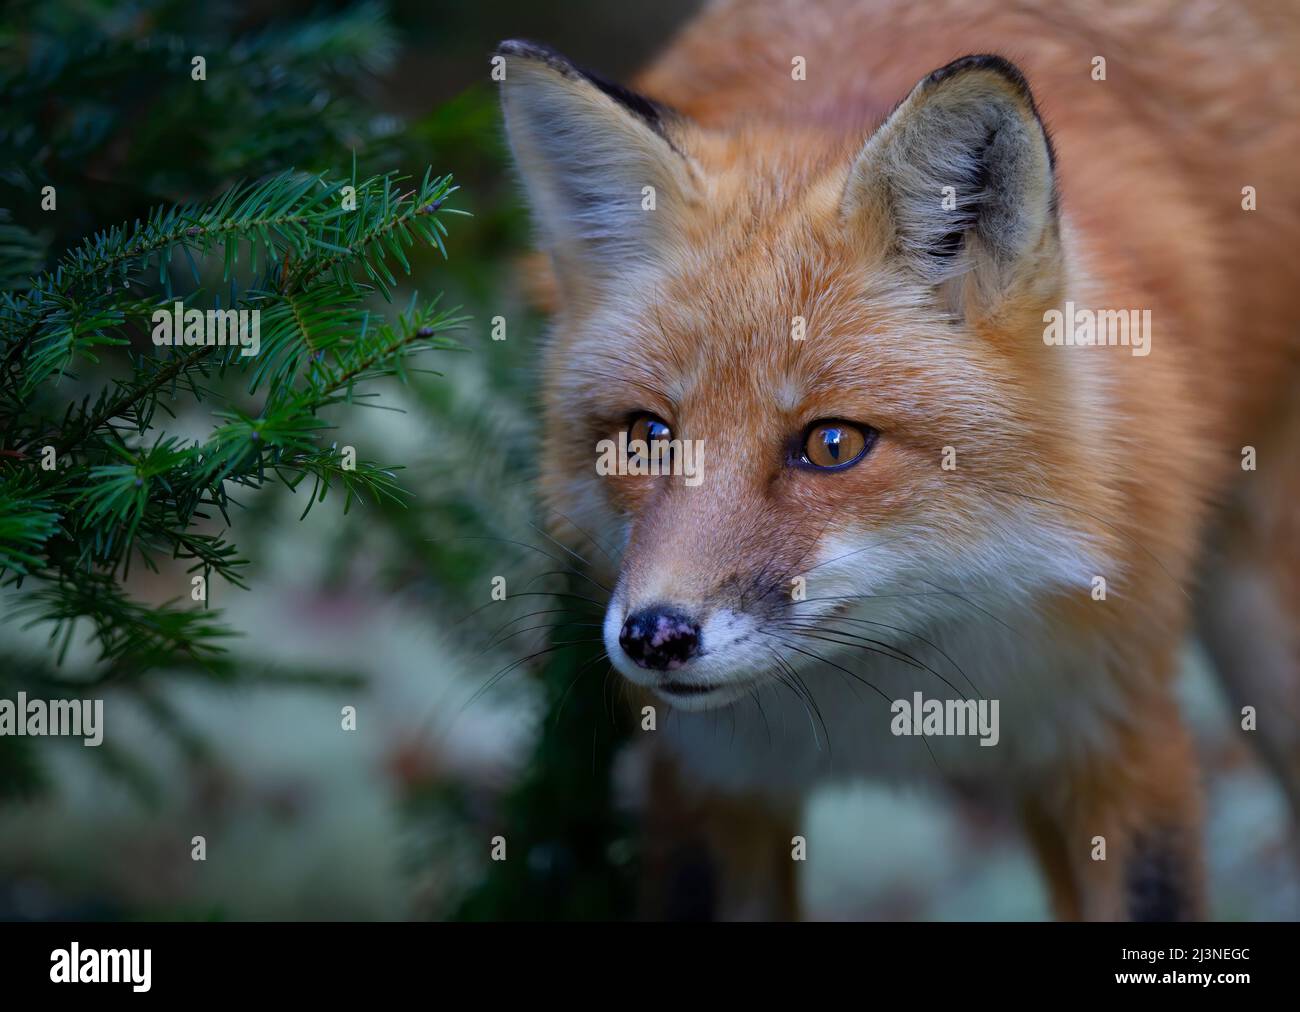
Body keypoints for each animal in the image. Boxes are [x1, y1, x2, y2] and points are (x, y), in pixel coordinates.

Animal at [495, 0, 1300, 920]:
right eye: (649, 434)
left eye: (832, 445)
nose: (654, 637)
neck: (897, 699)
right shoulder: (709, 779)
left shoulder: (1119, 736)